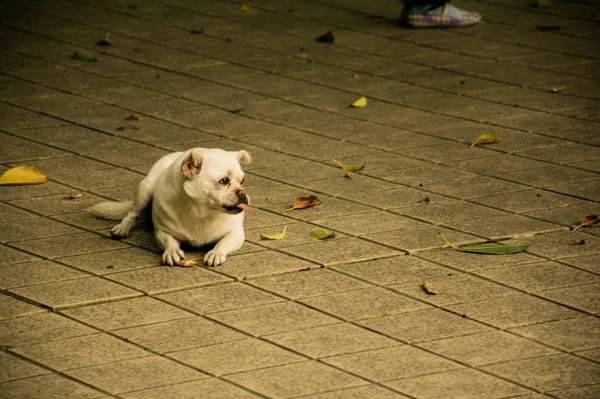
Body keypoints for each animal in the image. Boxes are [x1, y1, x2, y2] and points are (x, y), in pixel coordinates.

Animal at [86, 148, 251, 268]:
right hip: (145, 190)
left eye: (242, 181)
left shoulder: (236, 233)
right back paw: (123, 228)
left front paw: (216, 253)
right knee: (132, 212)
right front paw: (172, 252)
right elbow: (169, 242)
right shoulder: (163, 231)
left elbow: (224, 242)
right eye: (224, 181)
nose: (242, 193)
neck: (201, 212)